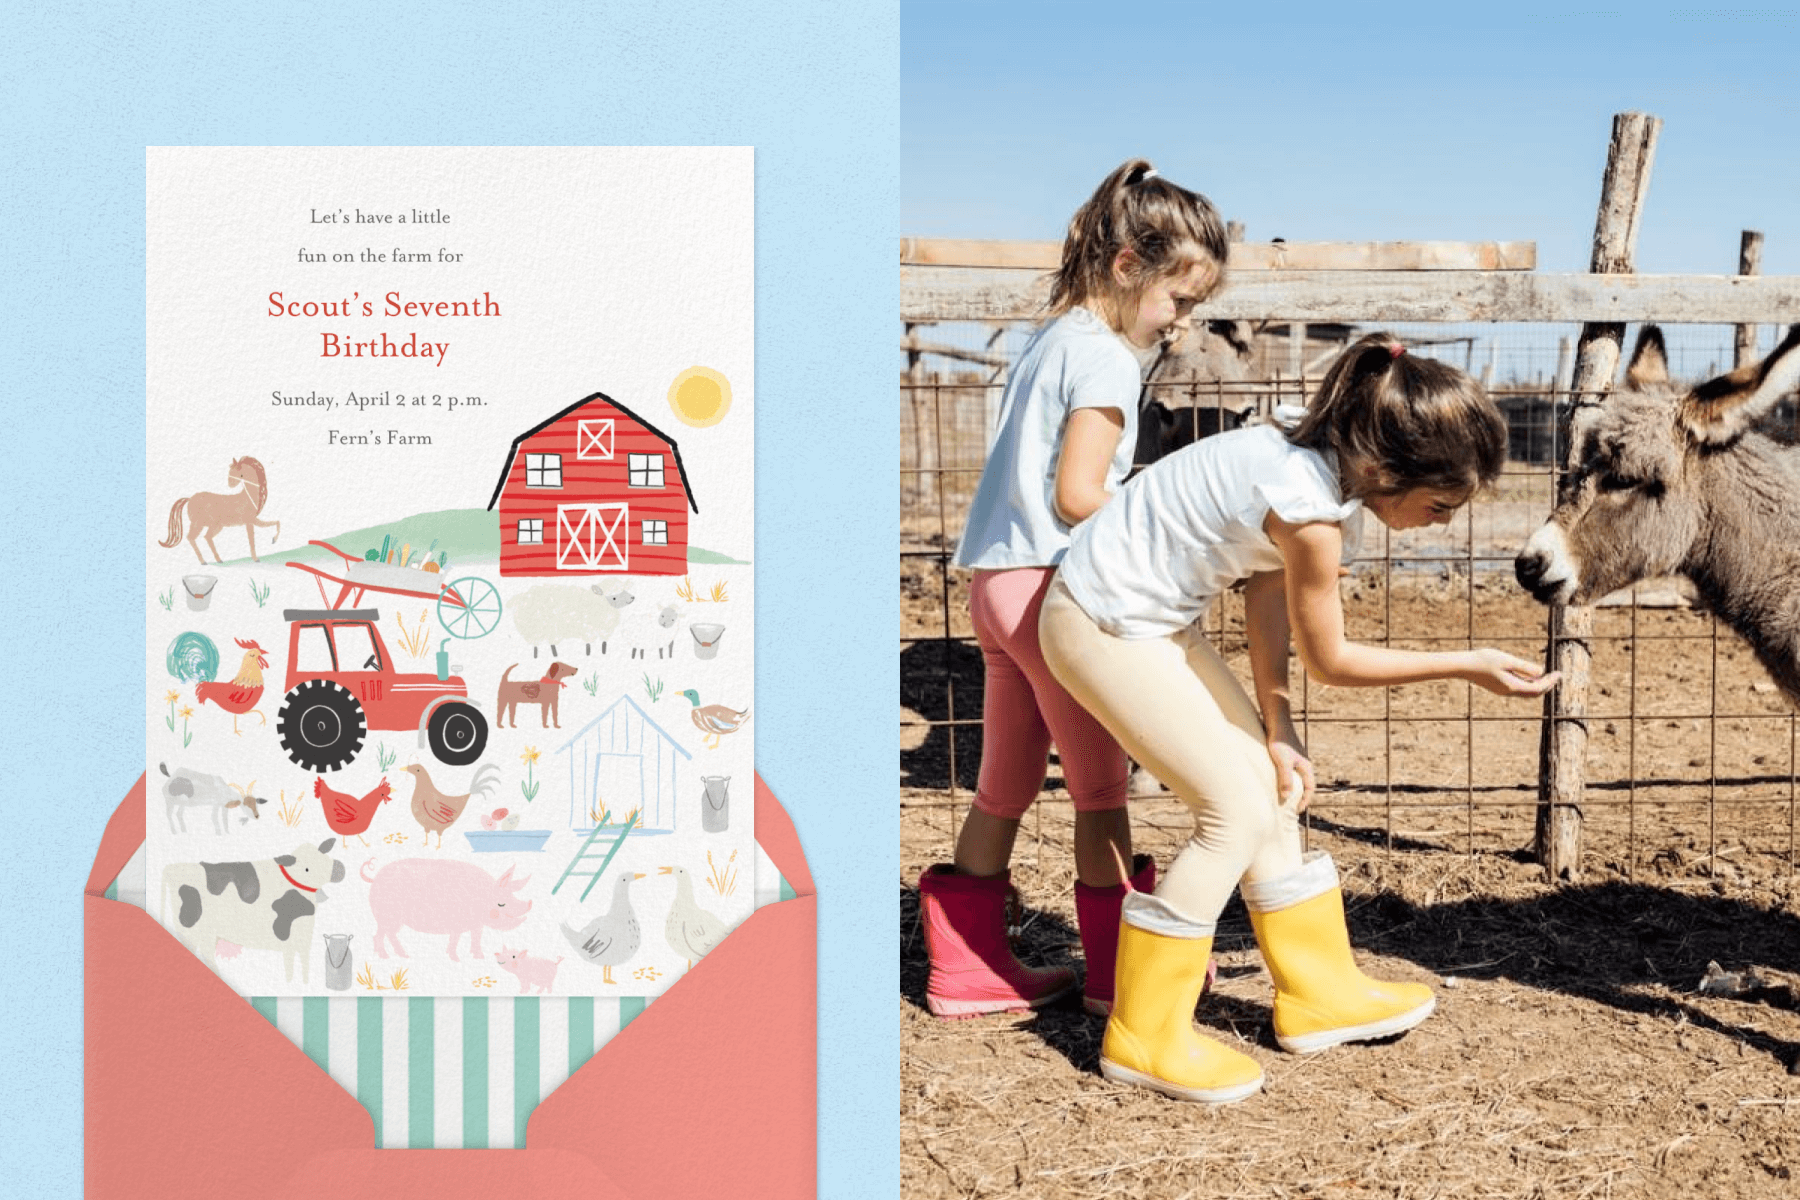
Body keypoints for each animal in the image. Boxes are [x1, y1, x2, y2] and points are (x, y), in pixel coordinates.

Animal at [162, 834, 347, 985]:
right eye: (307, 868)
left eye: (324, 856)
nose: (340, 868)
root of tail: (171, 868)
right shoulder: (287, 936)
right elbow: (290, 965)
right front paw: (292, 984)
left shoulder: (304, 939)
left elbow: (304, 964)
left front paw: (303, 984)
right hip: (188, 928)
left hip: (207, 934)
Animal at [361, 859, 529, 964]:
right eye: (501, 904)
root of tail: (375, 878)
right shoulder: (457, 921)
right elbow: (456, 939)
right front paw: (456, 959)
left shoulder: (477, 924)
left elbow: (475, 938)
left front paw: (479, 957)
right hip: (389, 914)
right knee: (385, 933)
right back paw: (392, 957)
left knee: (386, 933)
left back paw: (398, 956)